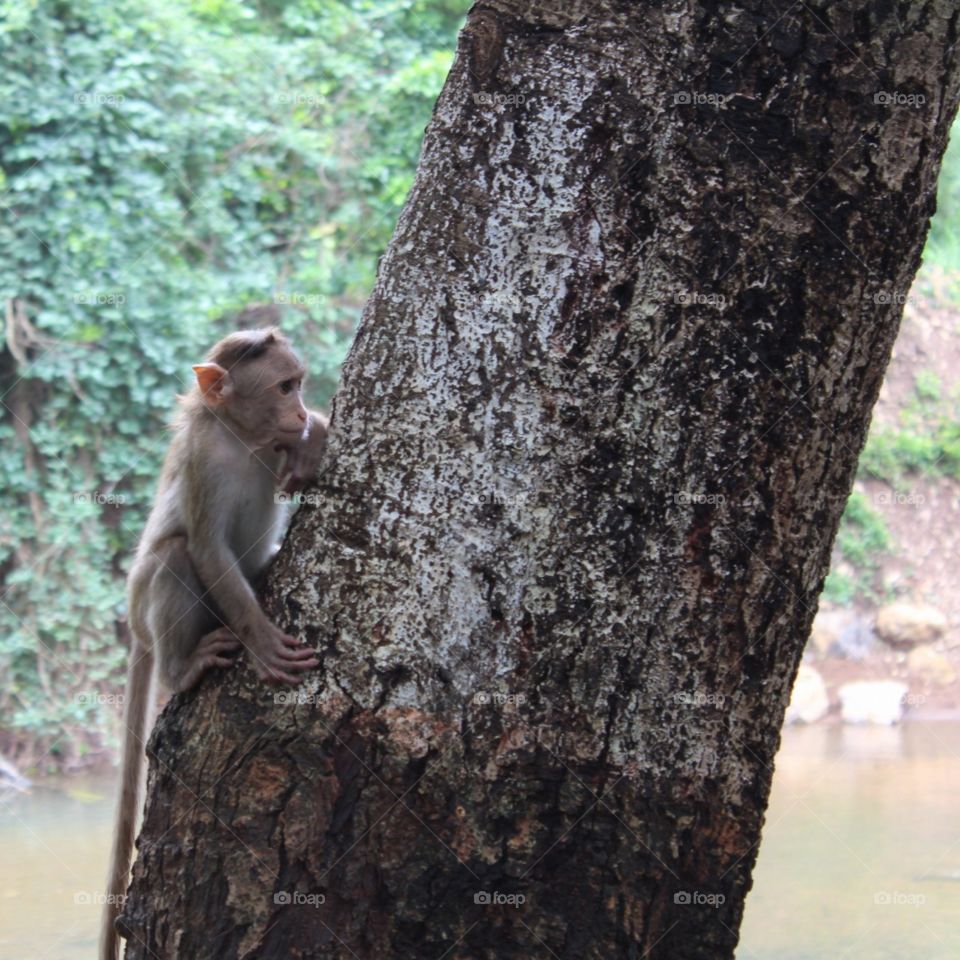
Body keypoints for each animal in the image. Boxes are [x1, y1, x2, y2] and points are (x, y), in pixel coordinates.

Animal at [100, 327, 327, 960]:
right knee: (176, 556)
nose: (301, 410)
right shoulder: (203, 461)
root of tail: (135, 626)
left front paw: (313, 438)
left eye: (299, 384)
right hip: (148, 602)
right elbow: (207, 550)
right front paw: (262, 641)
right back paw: (182, 668)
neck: (240, 439)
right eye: (284, 386)